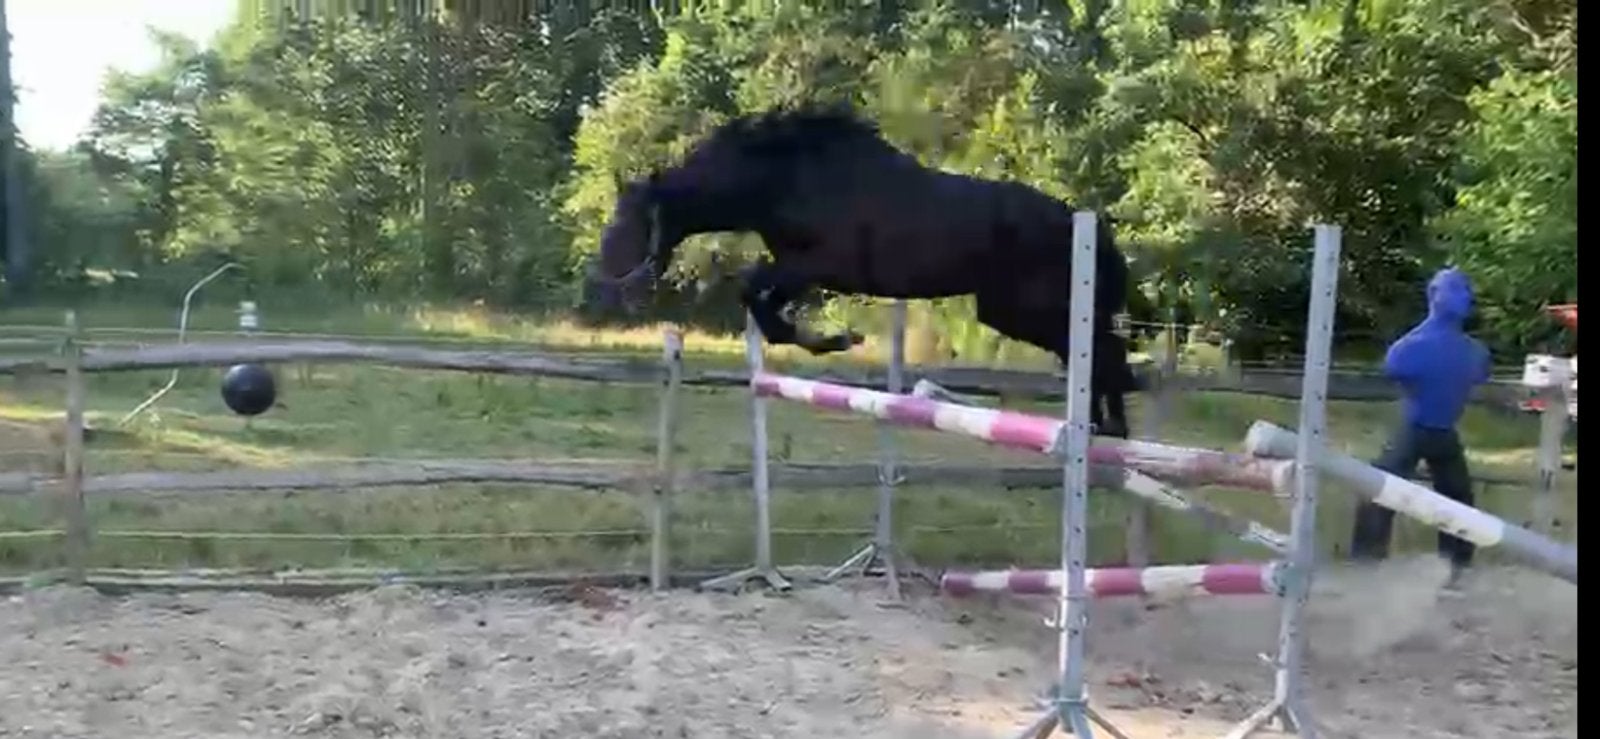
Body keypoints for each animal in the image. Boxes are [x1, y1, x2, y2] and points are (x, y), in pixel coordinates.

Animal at [585, 107, 1139, 438]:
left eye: (631, 219)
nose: (607, 279)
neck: (788, 177)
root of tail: (1077, 221)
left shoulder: (816, 266)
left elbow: (756, 294)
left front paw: (837, 338)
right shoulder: (802, 269)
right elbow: (760, 303)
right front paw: (833, 339)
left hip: (1028, 308)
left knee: (1103, 350)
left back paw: (1109, 430)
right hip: (1008, 310)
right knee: (1096, 351)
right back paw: (1102, 430)